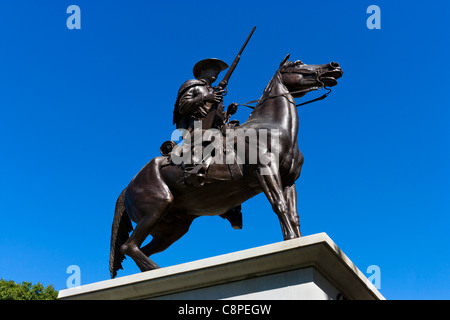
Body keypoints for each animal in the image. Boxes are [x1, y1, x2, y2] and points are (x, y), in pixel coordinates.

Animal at [110, 54, 342, 278]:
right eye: (298, 63)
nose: (334, 66)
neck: (274, 128)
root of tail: (128, 187)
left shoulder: (288, 180)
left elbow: (294, 214)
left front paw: (298, 239)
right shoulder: (266, 172)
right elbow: (279, 205)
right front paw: (291, 240)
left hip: (171, 227)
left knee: (139, 248)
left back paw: (154, 270)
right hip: (158, 207)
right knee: (128, 246)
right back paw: (156, 270)